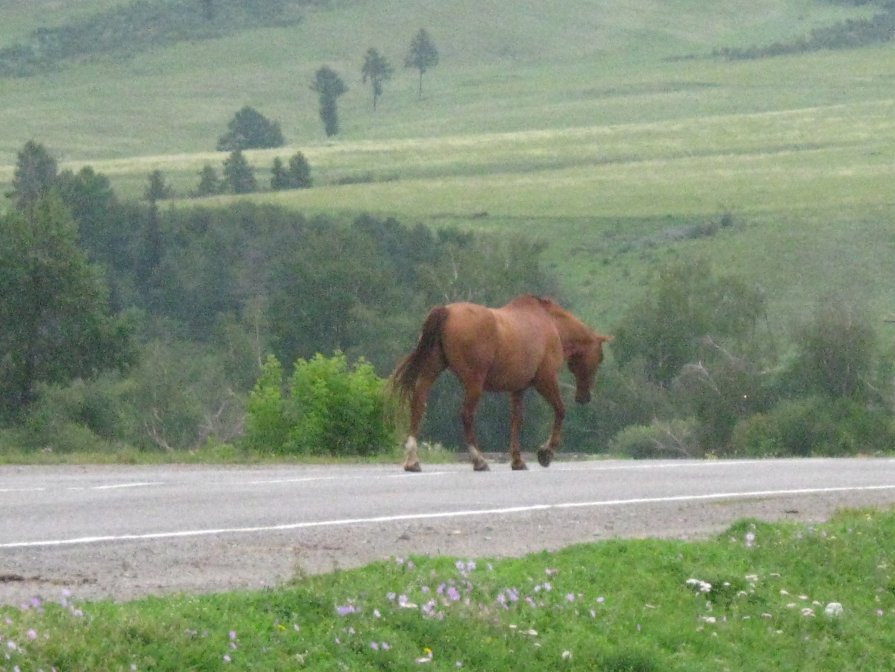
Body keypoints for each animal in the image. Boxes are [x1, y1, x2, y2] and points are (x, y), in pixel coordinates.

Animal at [390, 294, 608, 472]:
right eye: (599, 358)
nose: (585, 396)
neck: (551, 325)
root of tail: (447, 311)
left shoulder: (518, 389)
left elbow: (516, 421)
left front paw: (517, 460)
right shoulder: (545, 380)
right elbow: (560, 411)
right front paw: (546, 452)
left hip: (431, 371)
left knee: (418, 404)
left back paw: (412, 460)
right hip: (474, 382)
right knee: (466, 415)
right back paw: (478, 460)